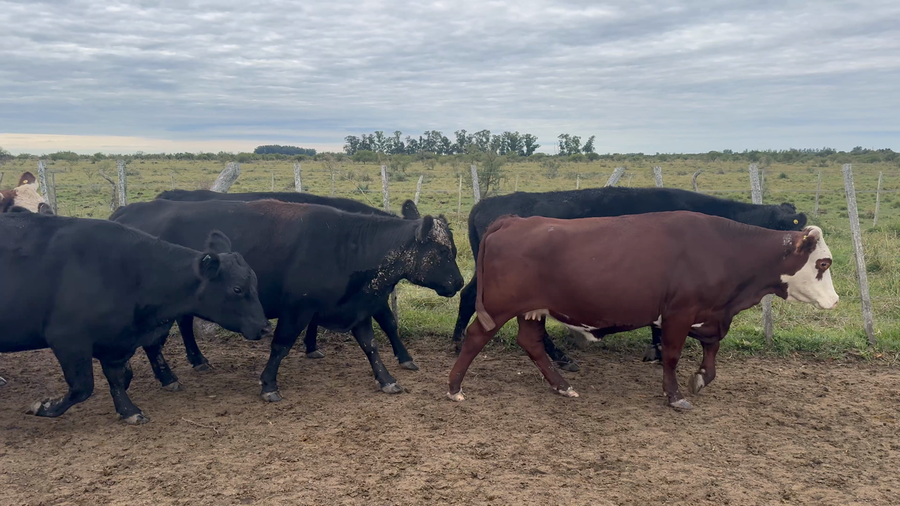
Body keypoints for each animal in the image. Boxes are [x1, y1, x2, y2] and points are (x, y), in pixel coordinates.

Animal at [0, 212, 271, 423]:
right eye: (237, 289)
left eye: (255, 283)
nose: (265, 327)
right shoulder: (68, 340)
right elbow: (82, 387)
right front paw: (43, 407)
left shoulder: (116, 340)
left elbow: (118, 377)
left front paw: (128, 410)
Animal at [447, 211, 838, 410]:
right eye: (822, 263)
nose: (834, 301)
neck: (724, 249)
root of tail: (512, 220)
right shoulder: (679, 312)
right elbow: (672, 354)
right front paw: (675, 395)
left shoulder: (711, 314)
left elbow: (711, 348)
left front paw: (701, 377)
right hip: (498, 306)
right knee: (474, 337)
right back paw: (454, 387)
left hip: (533, 310)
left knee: (530, 343)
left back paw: (562, 386)